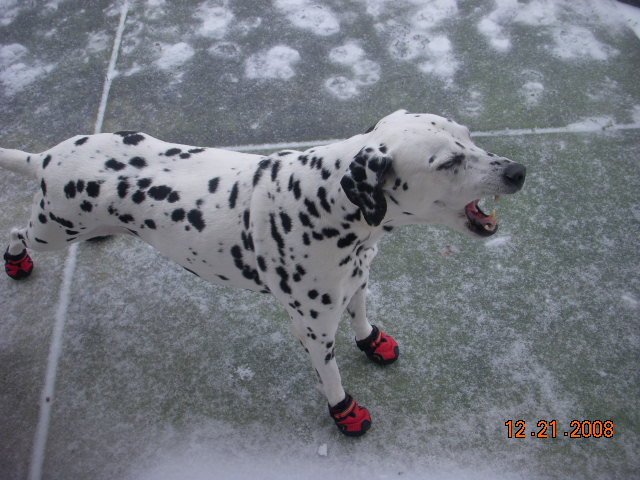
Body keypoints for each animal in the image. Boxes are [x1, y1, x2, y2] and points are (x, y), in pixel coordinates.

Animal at [0, 110, 524, 436]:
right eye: (449, 161)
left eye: (468, 134)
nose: (519, 171)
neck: (324, 201)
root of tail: (45, 157)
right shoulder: (313, 331)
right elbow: (332, 380)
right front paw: (346, 414)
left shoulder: (357, 279)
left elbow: (362, 317)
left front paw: (372, 341)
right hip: (50, 230)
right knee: (15, 229)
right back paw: (15, 258)